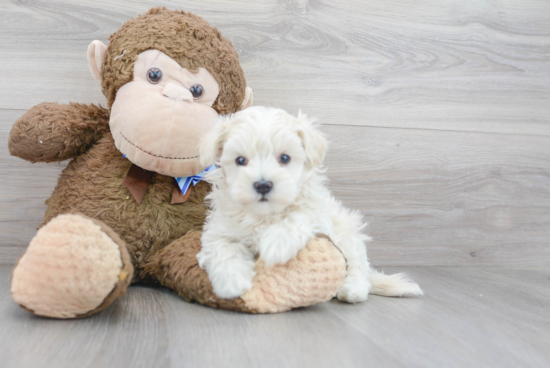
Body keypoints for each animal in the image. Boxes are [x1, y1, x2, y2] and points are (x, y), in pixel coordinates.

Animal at [196, 106, 424, 302]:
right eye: (240, 160)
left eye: (285, 158)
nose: (263, 185)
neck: (265, 215)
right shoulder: (219, 230)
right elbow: (224, 248)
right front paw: (231, 281)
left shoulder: (319, 216)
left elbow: (300, 215)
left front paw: (277, 243)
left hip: (347, 233)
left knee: (356, 265)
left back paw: (353, 289)